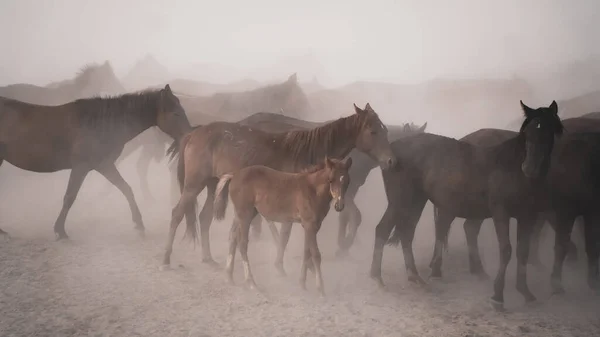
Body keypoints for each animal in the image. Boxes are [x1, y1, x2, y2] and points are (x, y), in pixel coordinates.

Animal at [0, 85, 191, 240]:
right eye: (176, 113)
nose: (189, 135)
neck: (101, 123)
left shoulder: (104, 165)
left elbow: (127, 189)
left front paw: (139, 225)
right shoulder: (81, 167)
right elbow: (69, 197)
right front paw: (60, 230)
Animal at [162, 101, 396, 270]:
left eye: (385, 131)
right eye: (373, 132)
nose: (391, 161)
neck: (307, 154)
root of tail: (194, 133)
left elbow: (286, 236)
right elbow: (285, 235)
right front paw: (281, 267)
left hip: (213, 186)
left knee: (204, 218)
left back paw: (208, 258)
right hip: (193, 185)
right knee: (176, 214)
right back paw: (166, 259)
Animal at [213, 156, 352, 292]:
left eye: (347, 182)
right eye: (331, 180)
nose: (339, 206)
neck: (312, 190)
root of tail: (235, 175)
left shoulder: (313, 226)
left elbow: (306, 252)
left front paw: (302, 284)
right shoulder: (310, 225)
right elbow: (316, 254)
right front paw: (320, 289)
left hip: (244, 214)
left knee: (233, 237)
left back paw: (229, 277)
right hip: (245, 215)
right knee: (242, 243)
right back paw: (251, 282)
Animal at [370, 100, 564, 310]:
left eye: (548, 132)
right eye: (526, 132)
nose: (529, 168)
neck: (511, 168)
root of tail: (391, 153)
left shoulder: (527, 216)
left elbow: (523, 252)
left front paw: (525, 291)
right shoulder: (500, 212)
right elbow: (506, 250)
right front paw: (498, 295)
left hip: (415, 202)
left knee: (408, 234)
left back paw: (415, 276)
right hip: (400, 201)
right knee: (383, 229)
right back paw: (377, 278)